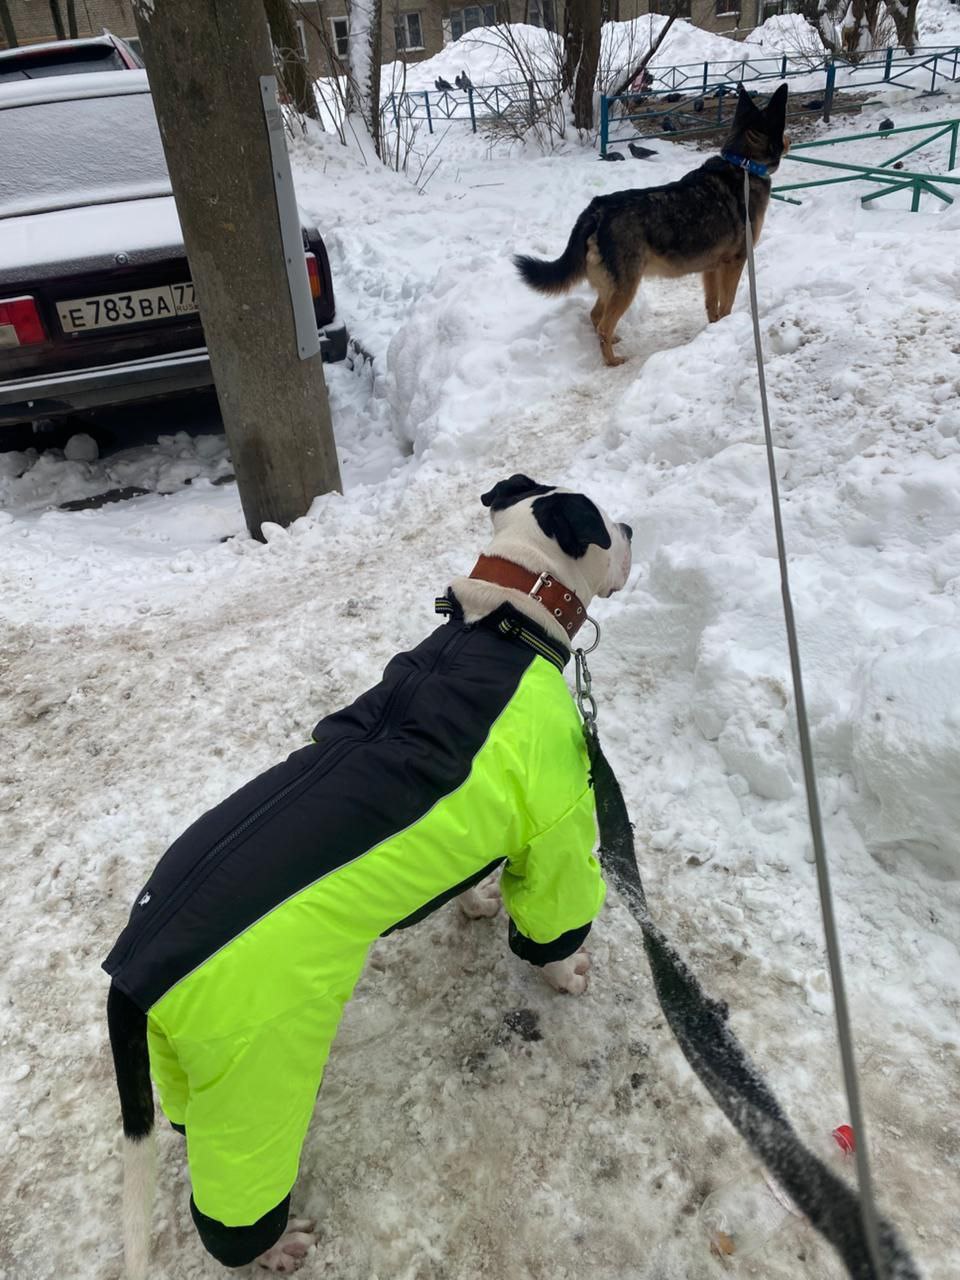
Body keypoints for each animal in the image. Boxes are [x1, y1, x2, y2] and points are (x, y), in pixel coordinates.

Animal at [104, 475, 633, 1276]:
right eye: (604, 522)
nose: (633, 528)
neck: (502, 618)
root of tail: (132, 966)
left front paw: (477, 905)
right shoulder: (555, 831)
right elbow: (550, 928)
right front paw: (564, 975)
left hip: (183, 1069)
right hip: (254, 1080)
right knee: (234, 1198)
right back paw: (274, 1249)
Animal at [514, 83, 789, 367]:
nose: (789, 142)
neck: (743, 164)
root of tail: (596, 209)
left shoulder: (711, 268)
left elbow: (712, 305)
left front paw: (714, 329)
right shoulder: (735, 261)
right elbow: (727, 304)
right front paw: (725, 325)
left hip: (612, 287)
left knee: (595, 317)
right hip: (626, 287)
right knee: (602, 325)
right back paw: (612, 361)